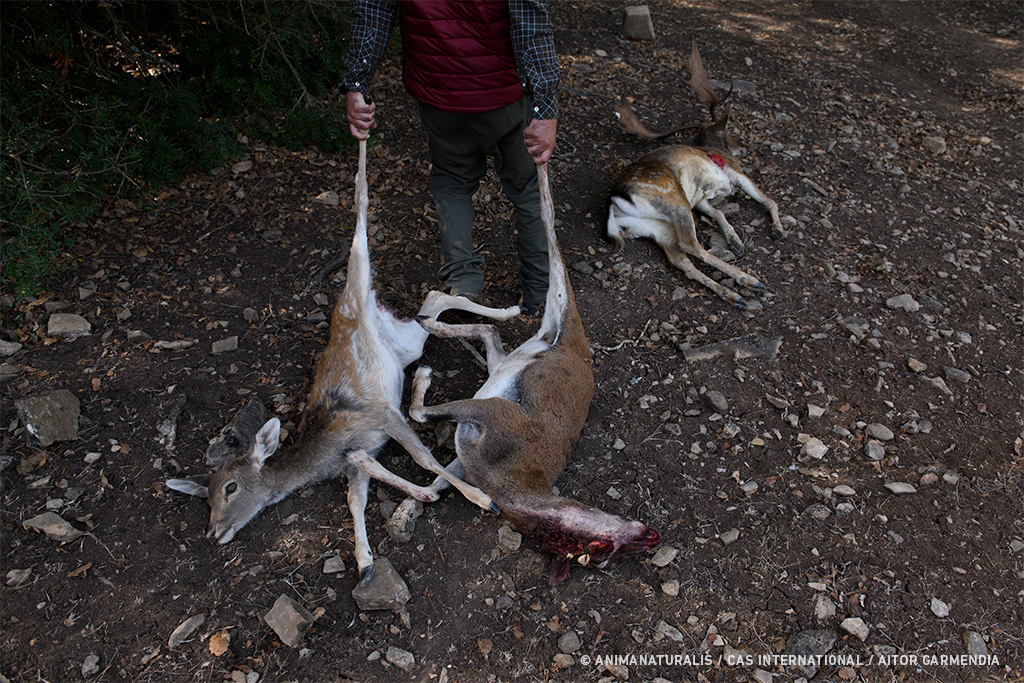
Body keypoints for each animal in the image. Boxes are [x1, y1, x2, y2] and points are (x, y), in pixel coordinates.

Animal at [169, 137, 520, 581]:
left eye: (230, 487)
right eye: (207, 496)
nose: (213, 531)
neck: (330, 448)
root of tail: (364, 306)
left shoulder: (380, 414)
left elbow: (422, 456)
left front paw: (480, 498)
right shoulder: (357, 456)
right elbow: (357, 499)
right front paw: (365, 561)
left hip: (361, 272)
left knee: (363, 211)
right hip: (405, 342)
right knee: (434, 299)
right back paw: (487, 321)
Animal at [405, 162, 655, 585]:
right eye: (606, 550)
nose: (651, 537)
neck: (512, 482)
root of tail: (572, 344)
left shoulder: (480, 429)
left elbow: (435, 470)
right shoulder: (496, 415)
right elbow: (421, 418)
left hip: (512, 356)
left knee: (488, 331)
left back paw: (434, 324)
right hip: (558, 298)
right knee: (548, 217)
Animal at [606, 40, 782, 309]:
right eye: (728, 130)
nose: (740, 146)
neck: (715, 150)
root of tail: (615, 205)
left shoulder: (700, 200)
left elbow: (719, 212)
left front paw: (736, 242)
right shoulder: (735, 173)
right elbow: (768, 199)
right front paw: (777, 230)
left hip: (655, 227)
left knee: (680, 260)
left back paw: (733, 295)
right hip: (675, 204)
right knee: (691, 246)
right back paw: (749, 280)